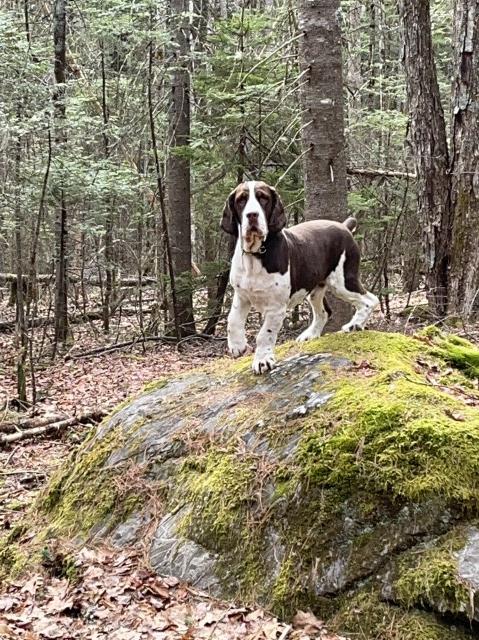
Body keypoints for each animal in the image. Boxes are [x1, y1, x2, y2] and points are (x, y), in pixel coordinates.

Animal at [221, 180, 378, 372]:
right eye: (241, 200)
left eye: (263, 198)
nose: (252, 215)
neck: (256, 254)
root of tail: (344, 226)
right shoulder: (242, 295)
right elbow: (233, 320)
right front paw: (237, 346)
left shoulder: (276, 308)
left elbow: (264, 334)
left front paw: (262, 360)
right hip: (316, 289)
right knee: (325, 312)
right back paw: (310, 334)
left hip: (342, 281)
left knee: (370, 300)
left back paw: (355, 325)